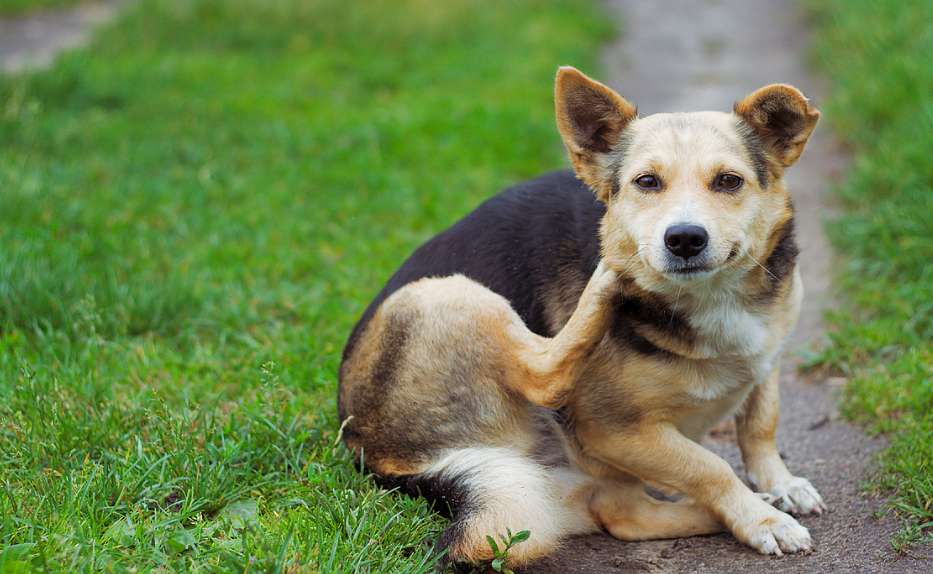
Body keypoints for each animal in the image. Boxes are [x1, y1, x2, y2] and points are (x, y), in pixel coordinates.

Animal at [336, 67, 824, 572]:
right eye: (646, 182)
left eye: (729, 181)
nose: (684, 239)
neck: (714, 297)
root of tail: (376, 455)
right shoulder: (613, 429)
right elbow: (712, 468)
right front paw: (761, 519)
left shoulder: (767, 354)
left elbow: (760, 424)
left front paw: (779, 484)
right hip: (449, 292)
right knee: (545, 376)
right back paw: (610, 275)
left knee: (625, 515)